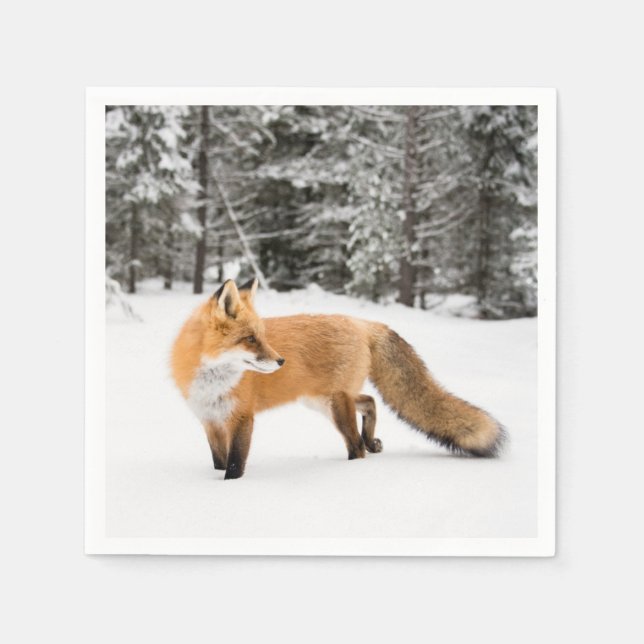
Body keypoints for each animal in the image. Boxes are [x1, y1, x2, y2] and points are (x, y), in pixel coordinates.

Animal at [170, 278, 506, 480]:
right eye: (250, 339)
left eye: (262, 337)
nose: (281, 361)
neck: (212, 382)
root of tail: (362, 322)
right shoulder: (210, 420)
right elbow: (219, 461)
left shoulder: (242, 418)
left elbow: (235, 465)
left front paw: (230, 488)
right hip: (322, 400)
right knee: (369, 401)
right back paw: (372, 441)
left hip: (334, 404)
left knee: (356, 445)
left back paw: (352, 466)